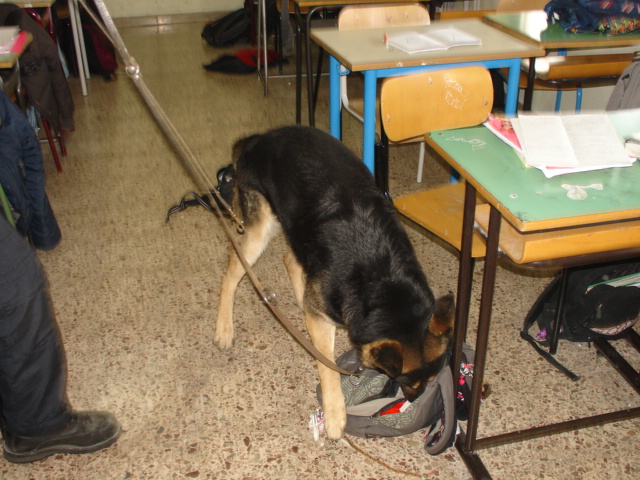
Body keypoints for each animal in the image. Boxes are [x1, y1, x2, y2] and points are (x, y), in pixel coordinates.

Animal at [215, 125, 456, 440]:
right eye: (409, 382)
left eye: (430, 379)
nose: (413, 399)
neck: (384, 282)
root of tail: (258, 138)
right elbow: (327, 366)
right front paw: (333, 413)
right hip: (260, 230)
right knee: (233, 268)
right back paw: (224, 327)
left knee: (290, 260)